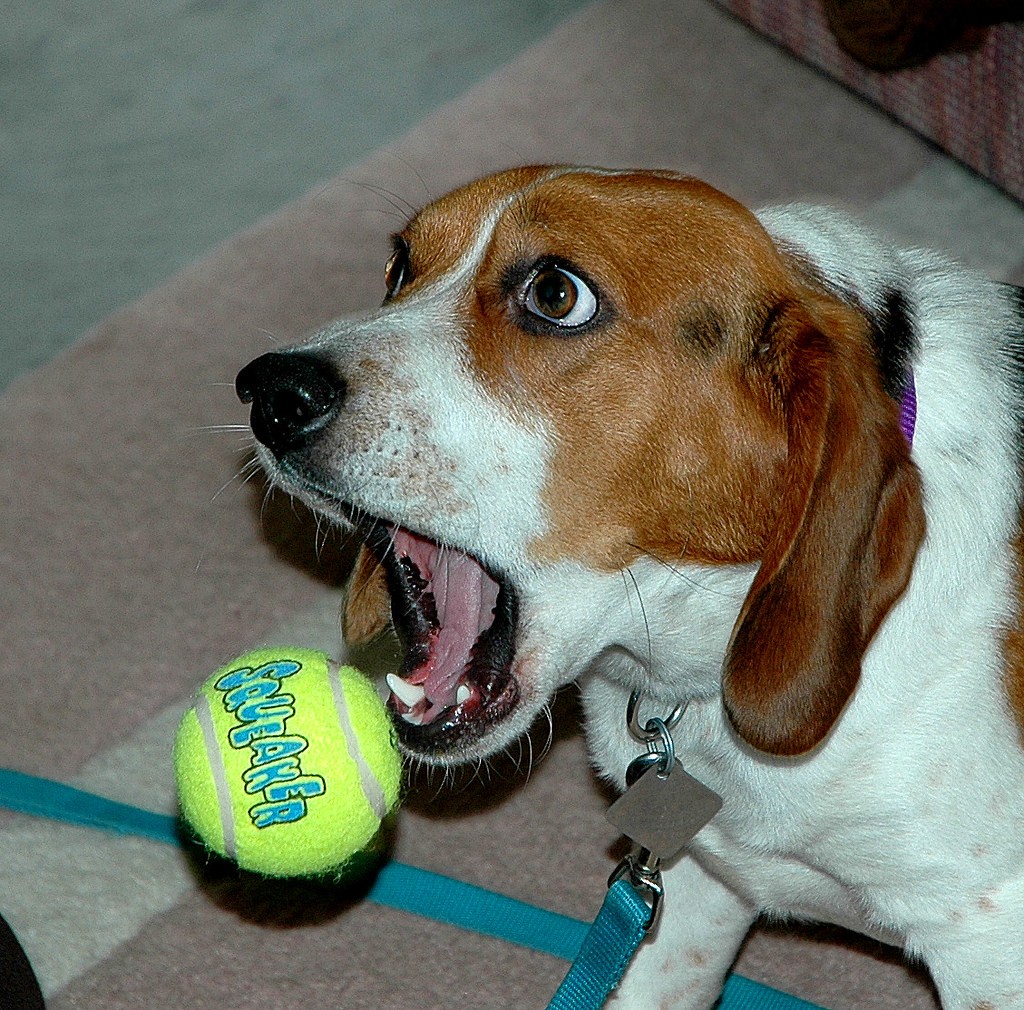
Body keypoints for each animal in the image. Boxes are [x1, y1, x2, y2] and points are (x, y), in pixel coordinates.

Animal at [235, 166, 1024, 1007]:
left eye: (555, 294)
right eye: (398, 267)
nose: (270, 392)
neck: (698, 677)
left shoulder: (986, 944)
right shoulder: (695, 884)